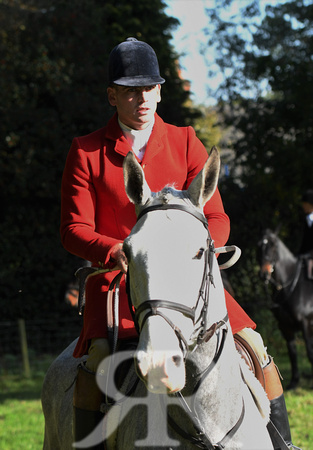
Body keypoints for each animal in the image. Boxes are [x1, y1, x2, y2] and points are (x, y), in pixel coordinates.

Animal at [258, 230, 312, 388]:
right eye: (259, 246)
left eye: (273, 246)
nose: (263, 274)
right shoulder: (285, 326)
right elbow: (292, 352)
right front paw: (294, 381)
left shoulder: (306, 323)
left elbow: (309, 351)